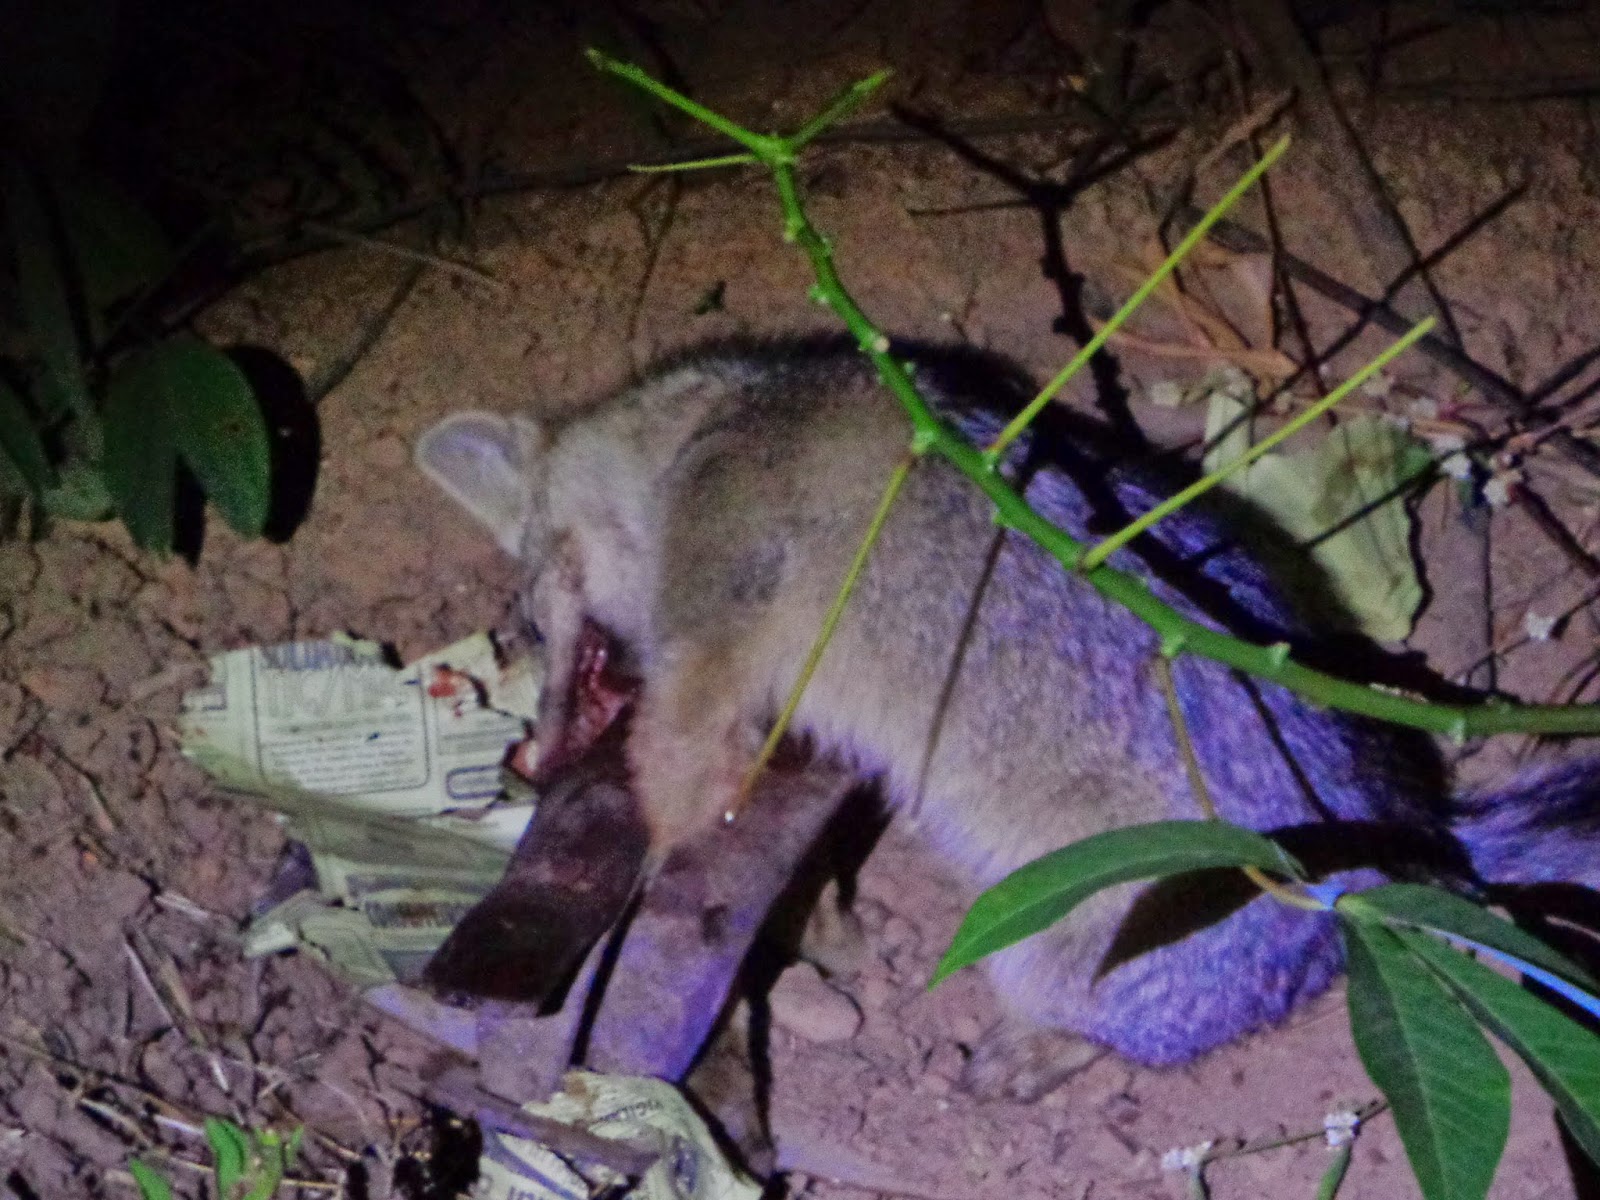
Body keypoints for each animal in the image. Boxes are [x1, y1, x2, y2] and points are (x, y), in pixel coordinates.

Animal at [416, 333, 1600, 1100]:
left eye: (523, 622)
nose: (531, 761)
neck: (705, 424)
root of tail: (1420, 849)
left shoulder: (710, 646)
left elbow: (678, 778)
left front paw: (659, 852)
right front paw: (824, 921)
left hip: (1042, 951)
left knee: (1107, 1035)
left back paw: (1033, 1055)